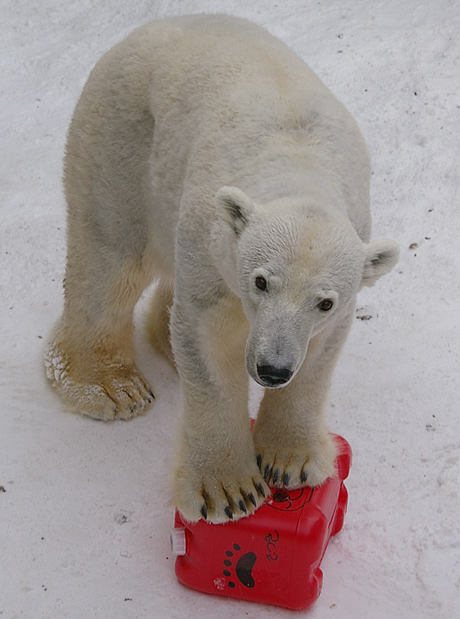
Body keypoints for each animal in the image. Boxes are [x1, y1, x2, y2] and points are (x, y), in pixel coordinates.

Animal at [45, 14, 400, 524]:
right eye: (261, 281)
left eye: (325, 302)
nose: (271, 369)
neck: (298, 160)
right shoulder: (211, 239)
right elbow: (208, 339)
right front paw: (229, 491)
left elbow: (317, 357)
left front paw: (290, 461)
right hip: (122, 144)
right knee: (110, 259)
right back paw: (111, 387)